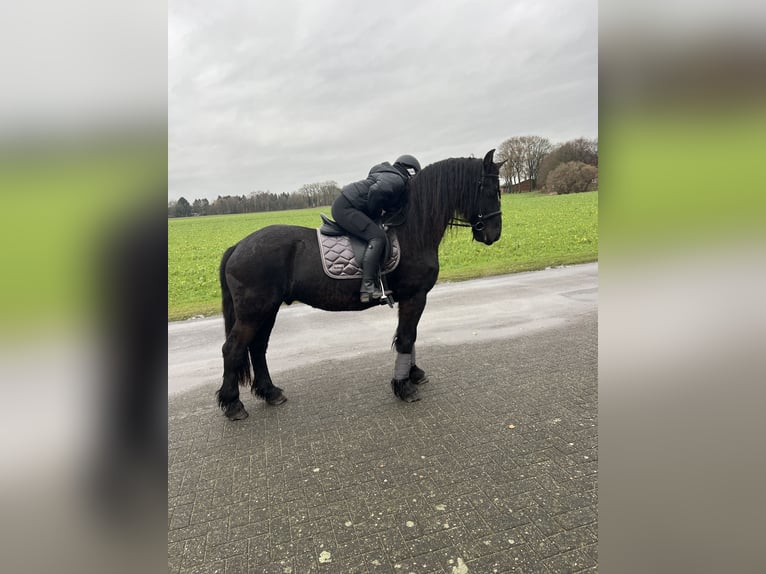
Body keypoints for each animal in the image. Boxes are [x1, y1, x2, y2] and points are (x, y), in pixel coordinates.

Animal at [216, 149, 505, 420]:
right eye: (491, 189)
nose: (494, 234)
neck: (412, 230)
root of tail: (238, 247)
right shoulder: (415, 295)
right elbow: (406, 338)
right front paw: (404, 386)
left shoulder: (410, 299)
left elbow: (409, 337)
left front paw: (413, 374)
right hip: (254, 312)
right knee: (233, 349)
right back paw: (233, 404)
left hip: (268, 310)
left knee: (258, 348)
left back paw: (270, 392)